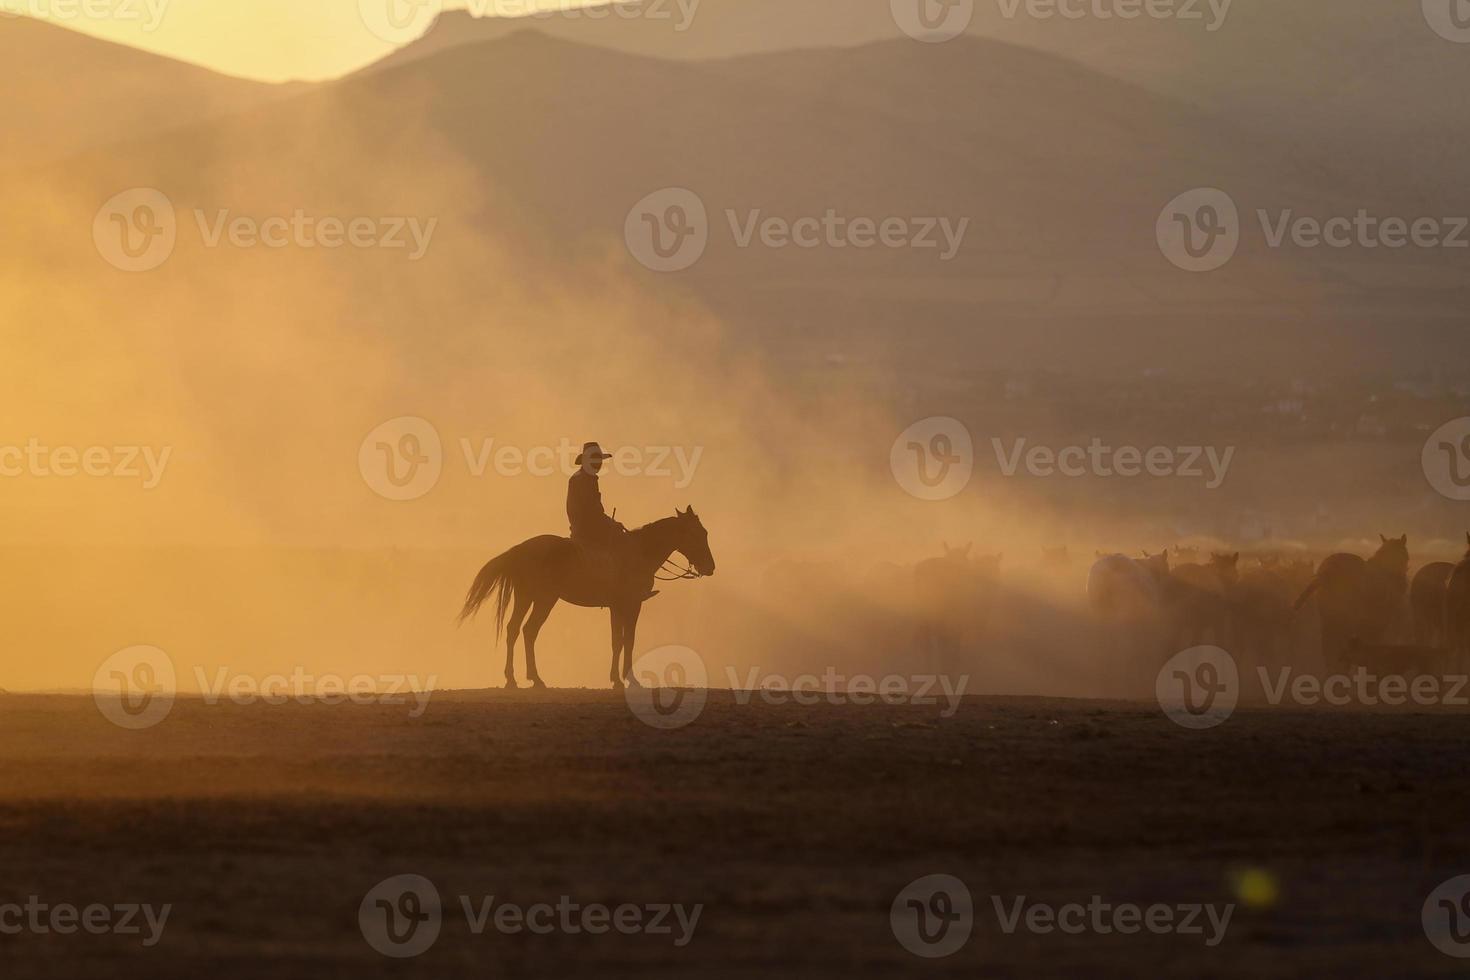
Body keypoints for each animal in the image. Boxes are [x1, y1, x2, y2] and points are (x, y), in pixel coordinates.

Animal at [455, 505, 714, 690]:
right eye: (699, 533)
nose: (710, 567)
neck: (639, 552)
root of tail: (520, 549)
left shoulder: (617, 607)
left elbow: (617, 641)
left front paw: (616, 679)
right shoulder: (632, 605)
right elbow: (627, 640)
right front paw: (628, 679)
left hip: (527, 597)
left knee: (516, 630)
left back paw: (516, 679)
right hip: (544, 599)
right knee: (527, 630)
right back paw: (533, 679)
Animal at [1299, 531, 1411, 669]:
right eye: (1405, 556)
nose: (1403, 583)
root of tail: (1327, 572)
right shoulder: (1377, 626)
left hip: (1329, 620)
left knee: (1329, 653)